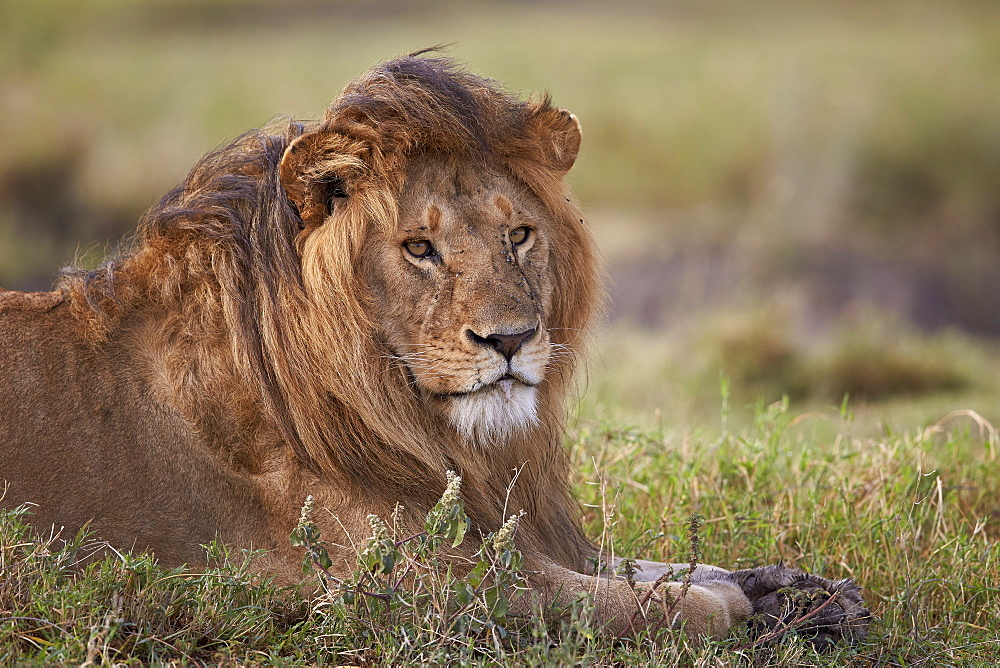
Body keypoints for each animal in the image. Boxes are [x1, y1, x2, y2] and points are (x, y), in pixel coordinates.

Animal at [0, 54, 868, 644]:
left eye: (519, 235)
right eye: (419, 248)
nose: (511, 339)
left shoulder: (507, 527)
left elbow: (642, 565)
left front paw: (794, 591)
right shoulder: (403, 583)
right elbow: (621, 601)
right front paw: (732, 604)